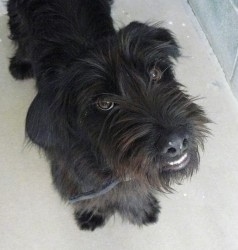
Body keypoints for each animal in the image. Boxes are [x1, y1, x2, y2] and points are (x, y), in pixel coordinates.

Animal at [6, 0, 209, 230]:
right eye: (104, 103)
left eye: (155, 73)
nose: (176, 141)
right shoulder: (71, 172)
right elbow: (90, 196)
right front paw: (92, 213)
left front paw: (140, 208)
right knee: (21, 35)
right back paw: (21, 63)